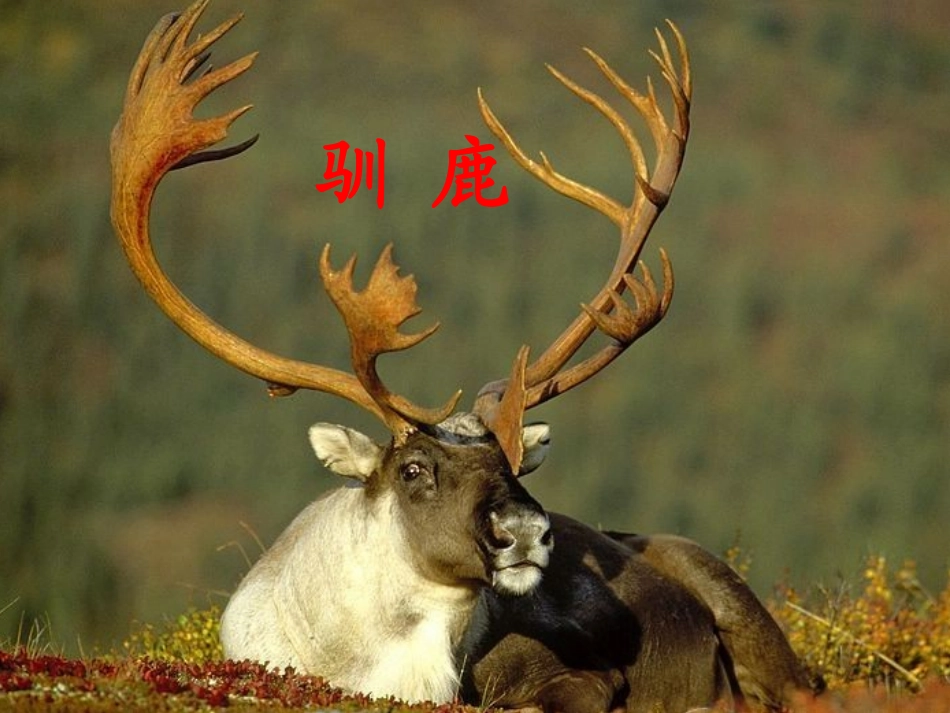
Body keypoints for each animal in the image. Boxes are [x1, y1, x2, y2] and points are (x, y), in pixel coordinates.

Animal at [110, 2, 817, 711]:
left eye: (513, 463)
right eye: (413, 469)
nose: (526, 531)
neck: (375, 665)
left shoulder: (585, 677)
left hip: (733, 595)